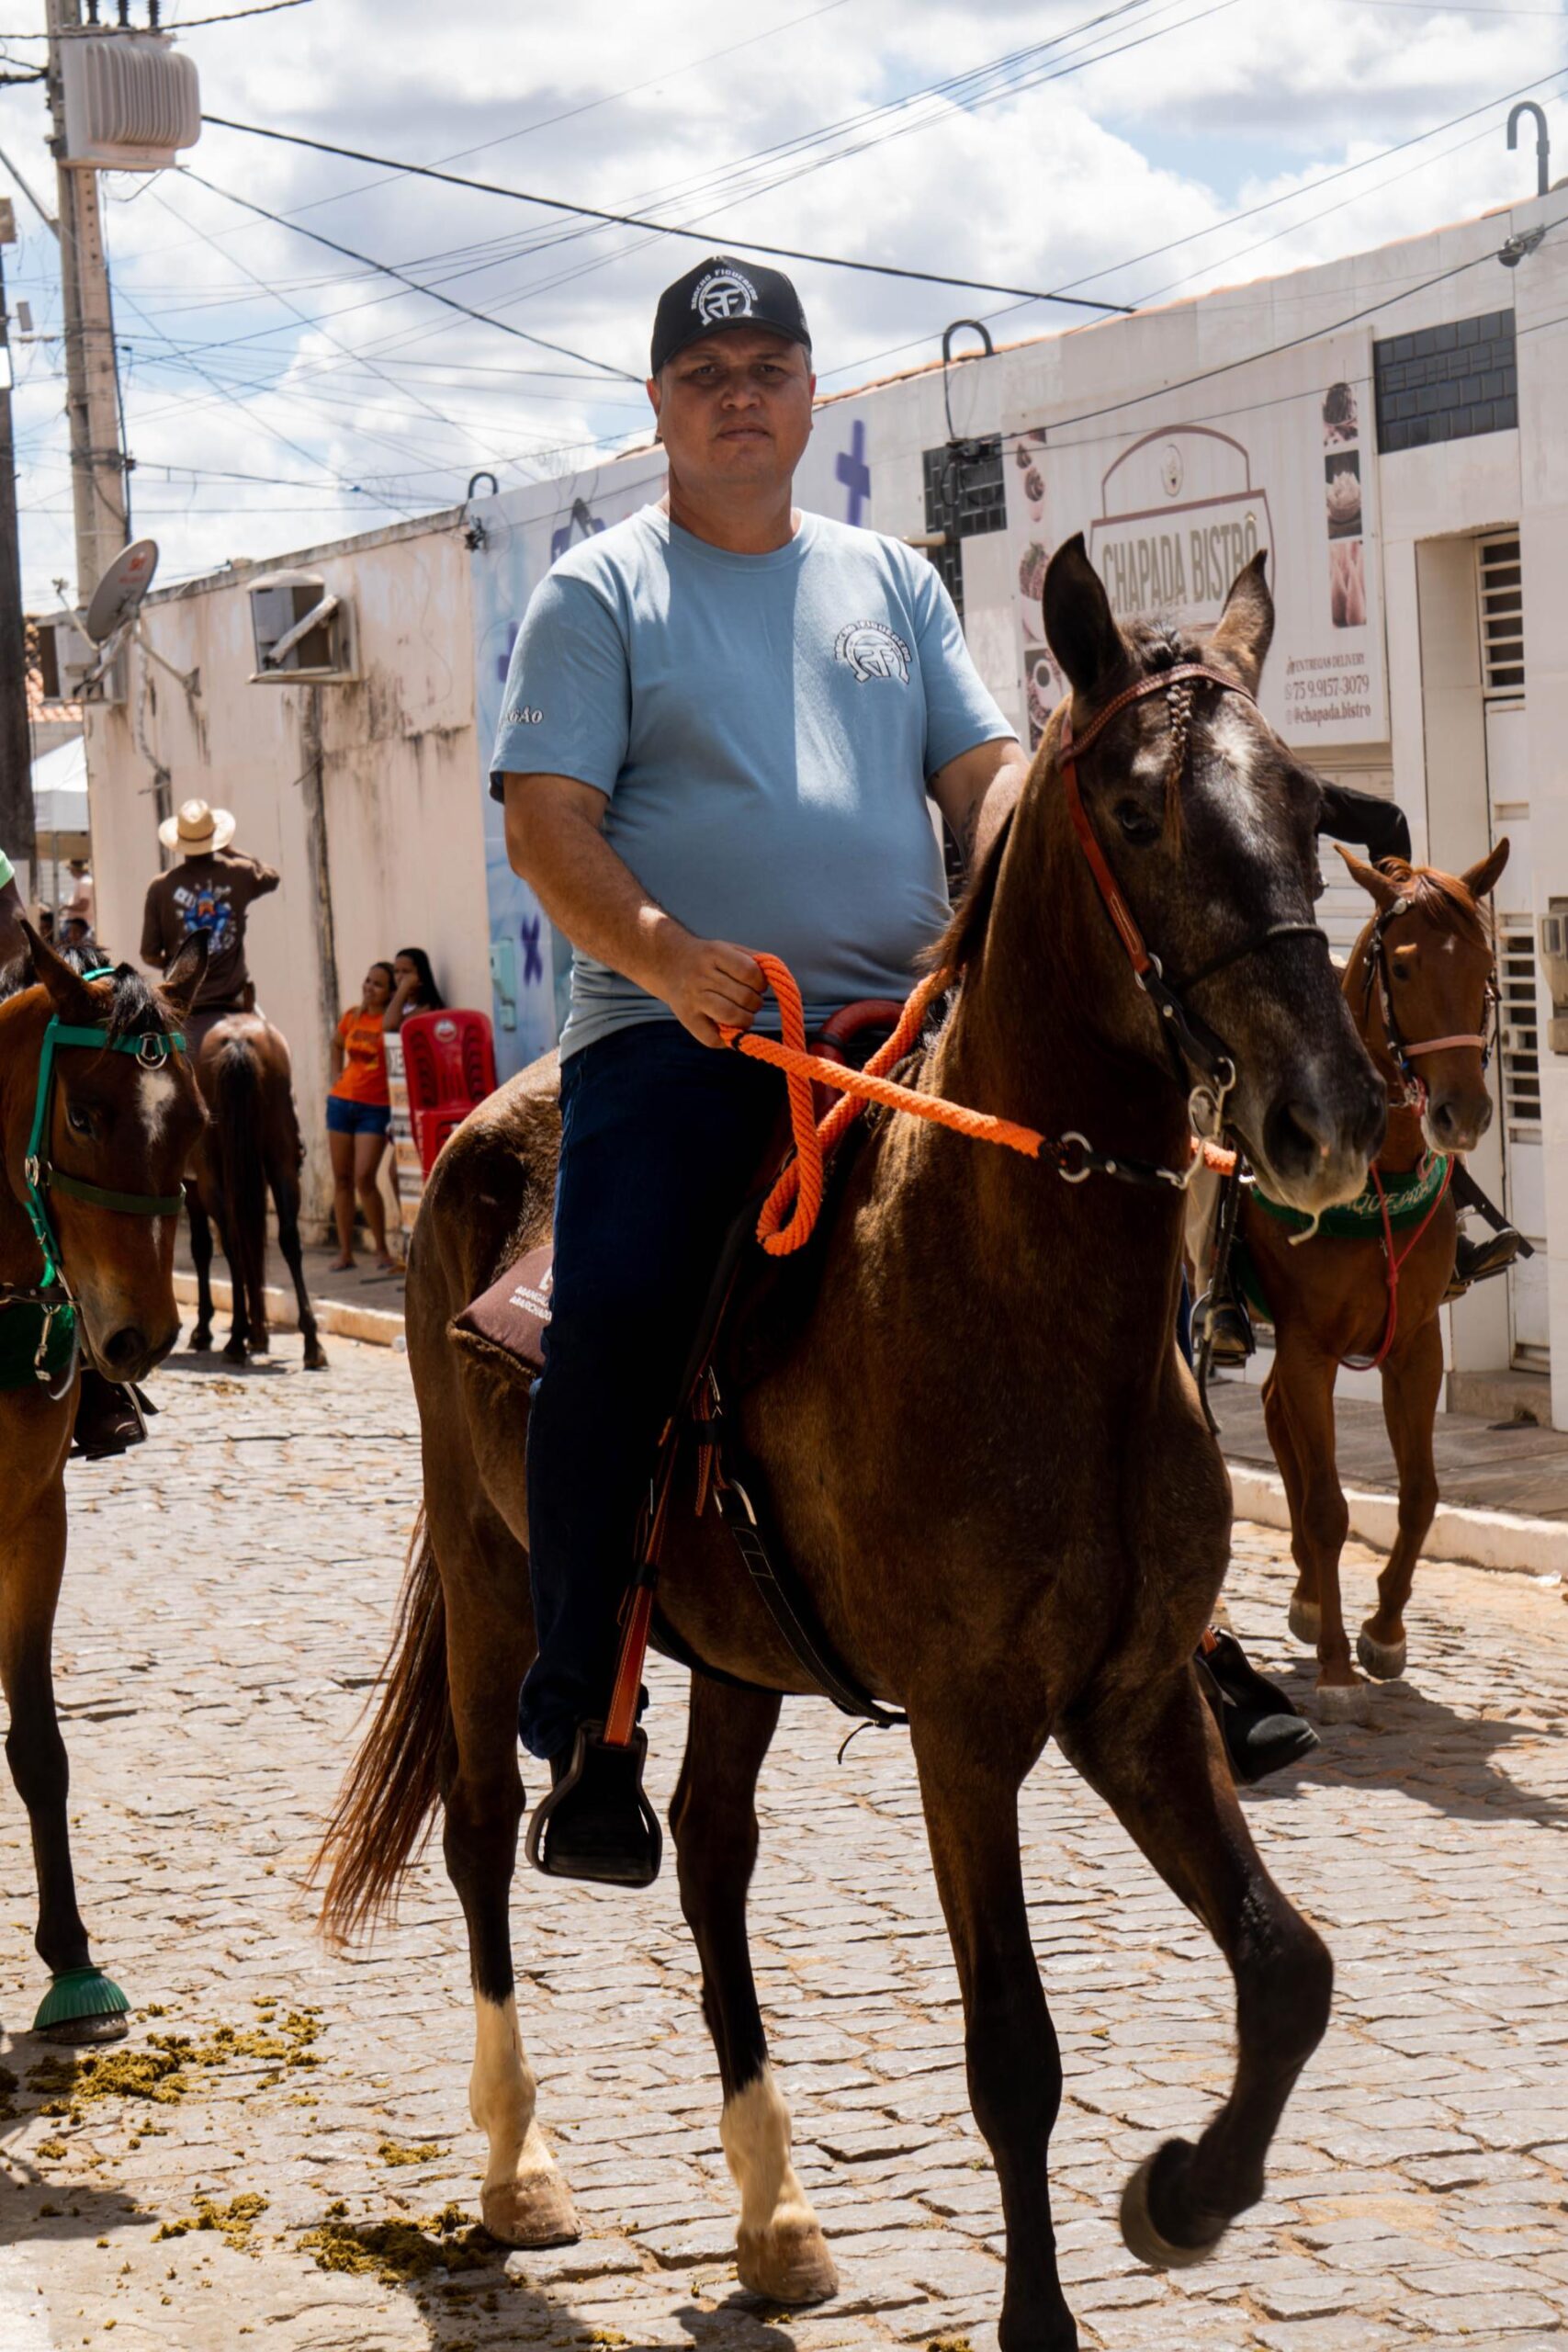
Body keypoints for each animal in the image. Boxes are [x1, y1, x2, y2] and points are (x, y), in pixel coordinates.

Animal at [186, 1010, 326, 1371]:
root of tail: (238, 1040)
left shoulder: (190, 1184)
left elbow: (202, 1247)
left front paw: (204, 1329)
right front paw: (258, 1334)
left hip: (213, 1177)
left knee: (233, 1242)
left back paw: (236, 1338)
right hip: (281, 1160)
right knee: (289, 1238)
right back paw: (311, 1342)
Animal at [316, 540, 1385, 2352]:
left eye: (1309, 804)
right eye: (1139, 811)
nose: (1323, 1116)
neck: (1020, 1301)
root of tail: (474, 1136)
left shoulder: (1130, 1699)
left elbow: (1289, 1968)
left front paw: (1183, 2195)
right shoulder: (966, 1732)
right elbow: (1012, 2052)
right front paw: (1048, 2313)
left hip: (737, 1649)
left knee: (711, 1862)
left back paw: (774, 2210)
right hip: (490, 1576)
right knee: (476, 1828)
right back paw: (519, 2169)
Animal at [1235, 843, 1506, 1708]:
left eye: (1485, 964)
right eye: (1405, 966)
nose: (1461, 1115)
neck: (1374, 1174)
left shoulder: (1414, 1343)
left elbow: (1419, 1494)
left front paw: (1382, 1633)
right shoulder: (1307, 1346)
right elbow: (1328, 1506)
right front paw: (1332, 1667)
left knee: (1274, 1416)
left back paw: (1304, 1595)